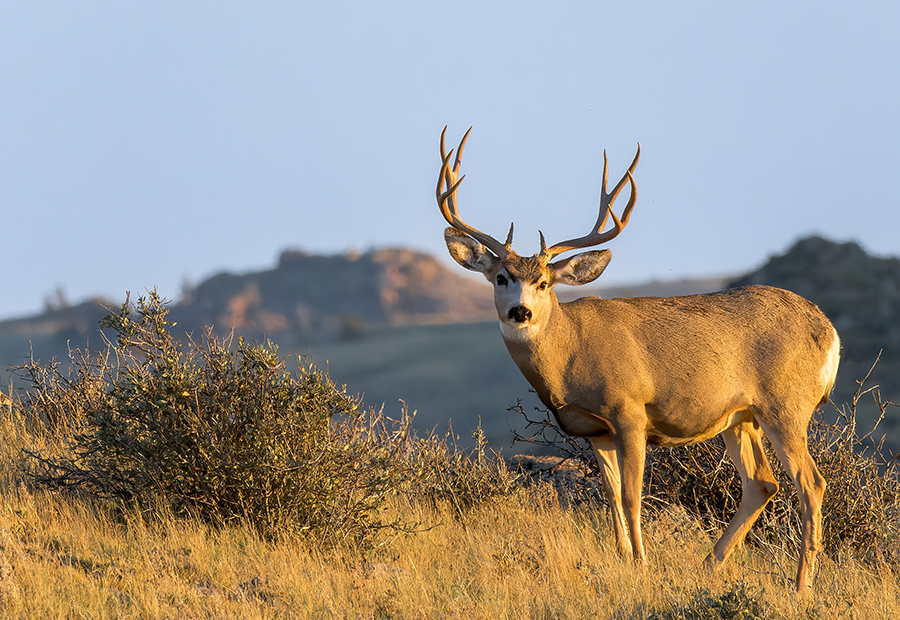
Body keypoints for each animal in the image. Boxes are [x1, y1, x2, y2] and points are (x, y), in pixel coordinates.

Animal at [435, 127, 839, 594]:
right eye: (501, 277)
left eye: (544, 282)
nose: (521, 312)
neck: (570, 355)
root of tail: (829, 330)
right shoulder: (596, 430)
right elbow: (610, 497)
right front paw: (624, 559)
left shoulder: (629, 410)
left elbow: (631, 496)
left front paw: (643, 563)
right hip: (741, 417)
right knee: (762, 482)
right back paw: (709, 566)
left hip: (785, 404)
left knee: (811, 483)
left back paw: (801, 585)